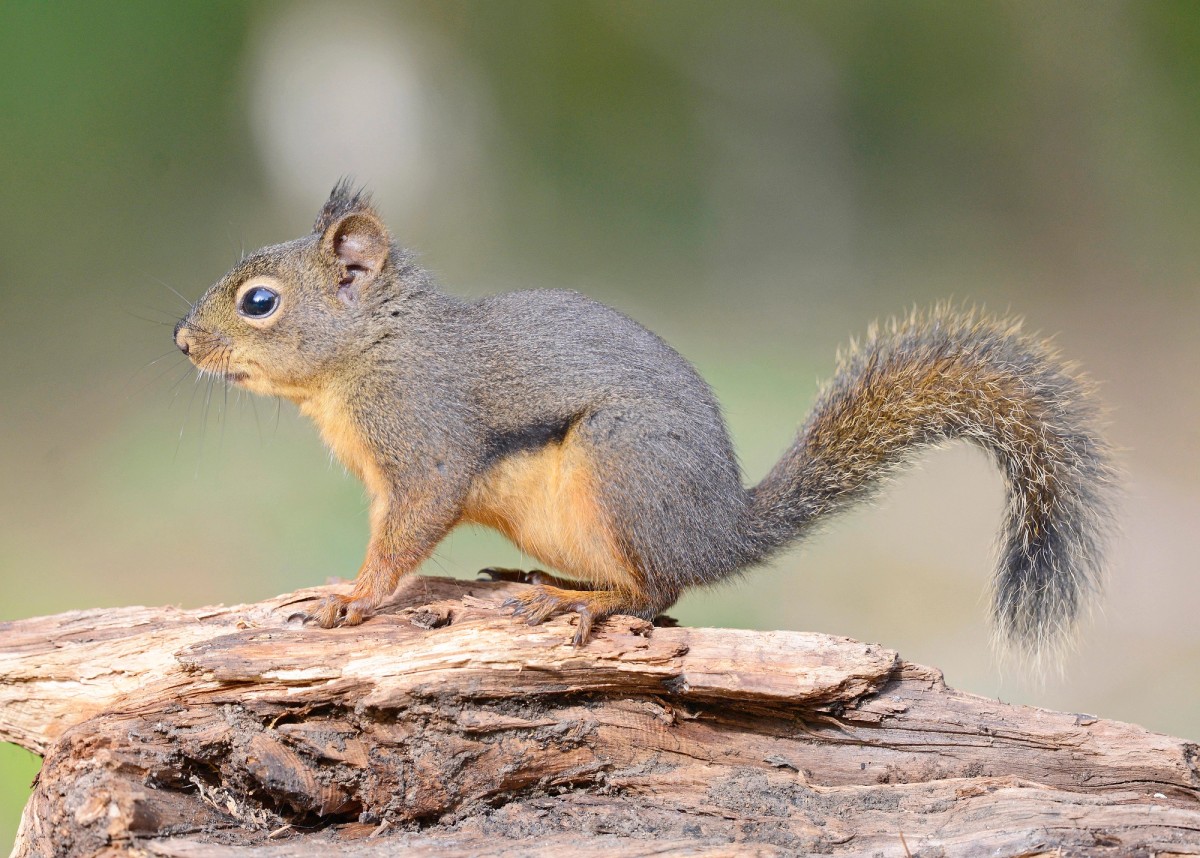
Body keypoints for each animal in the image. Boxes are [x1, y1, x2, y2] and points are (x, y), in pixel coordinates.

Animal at [174, 181, 1116, 659]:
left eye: (259, 302)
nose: (181, 340)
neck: (371, 350)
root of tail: (718, 532)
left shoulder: (425, 439)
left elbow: (409, 529)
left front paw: (353, 600)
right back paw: (543, 580)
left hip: (620, 467)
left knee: (659, 593)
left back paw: (584, 604)